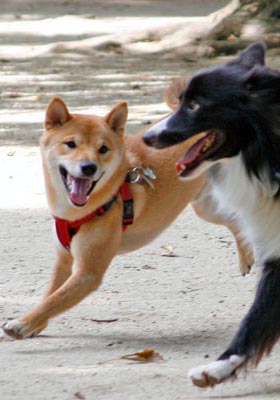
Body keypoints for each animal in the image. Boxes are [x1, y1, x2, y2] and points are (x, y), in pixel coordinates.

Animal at [0, 83, 254, 340]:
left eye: (103, 149)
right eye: (70, 144)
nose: (88, 167)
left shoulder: (87, 273)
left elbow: (55, 300)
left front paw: (22, 323)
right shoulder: (64, 260)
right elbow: (50, 295)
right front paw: (36, 324)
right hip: (207, 208)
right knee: (236, 222)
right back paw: (247, 257)